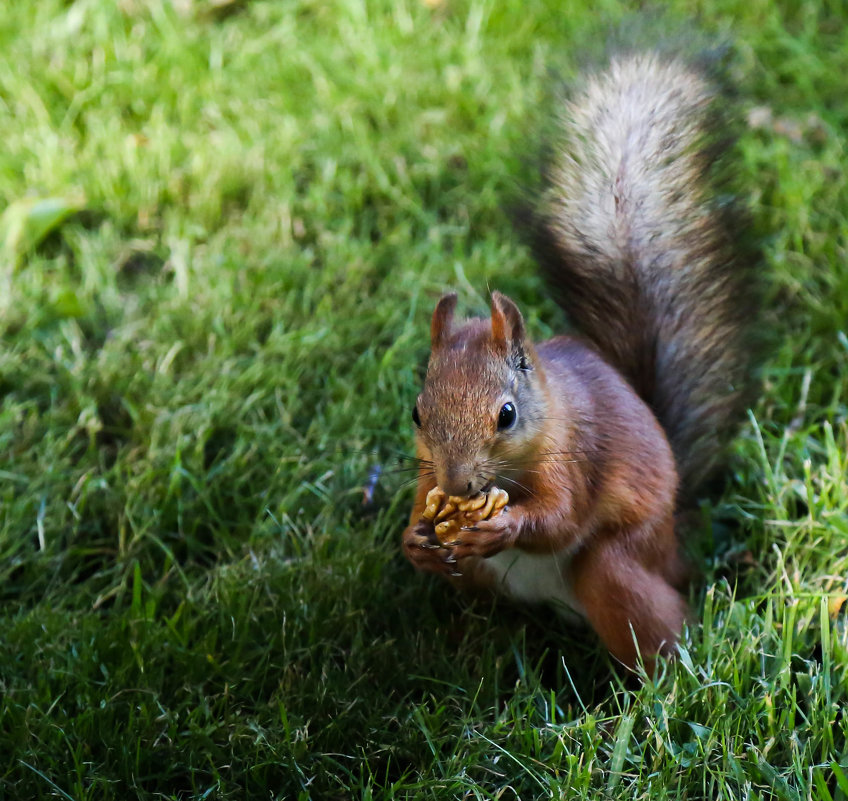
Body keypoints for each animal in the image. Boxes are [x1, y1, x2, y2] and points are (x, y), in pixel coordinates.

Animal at [400, 51, 760, 676]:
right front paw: (416, 540)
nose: (457, 483)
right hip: (481, 580)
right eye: (419, 414)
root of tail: (674, 545)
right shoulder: (427, 472)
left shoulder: (577, 455)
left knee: (654, 617)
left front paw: (504, 526)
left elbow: (560, 518)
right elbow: (421, 506)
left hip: (617, 566)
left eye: (507, 414)